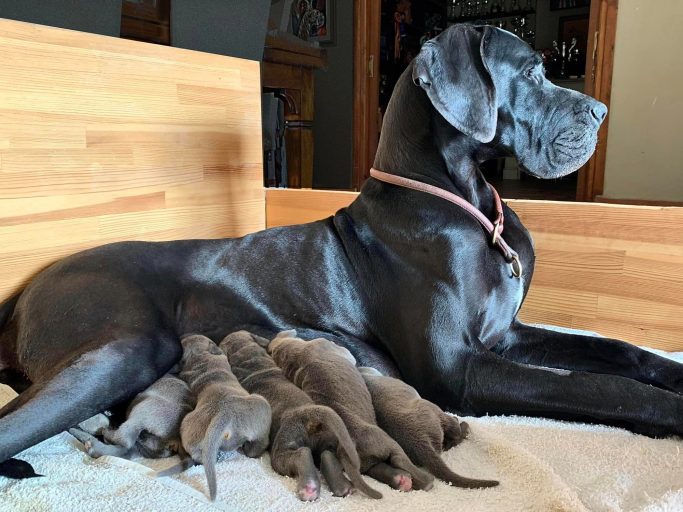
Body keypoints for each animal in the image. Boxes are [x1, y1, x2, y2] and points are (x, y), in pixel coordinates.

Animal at [1, 24, 683, 476]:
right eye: (536, 73)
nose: (601, 111)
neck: (462, 201)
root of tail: (25, 291)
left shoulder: (504, 337)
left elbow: (620, 354)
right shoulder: (459, 370)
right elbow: (599, 388)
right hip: (126, 345)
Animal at [179, 334, 272, 502]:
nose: (182, 335)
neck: (201, 358)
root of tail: (224, 414)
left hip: (188, 427)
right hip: (262, 406)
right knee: (257, 446)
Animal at [219, 328, 382, 500]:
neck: (247, 354)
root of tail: (308, 413)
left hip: (285, 443)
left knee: (302, 453)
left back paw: (309, 487)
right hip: (324, 439)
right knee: (325, 454)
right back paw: (342, 487)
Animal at [270, 332, 436, 492]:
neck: (294, 357)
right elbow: (350, 355)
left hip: (364, 462)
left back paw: (401, 480)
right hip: (388, 443)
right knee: (399, 459)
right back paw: (426, 481)